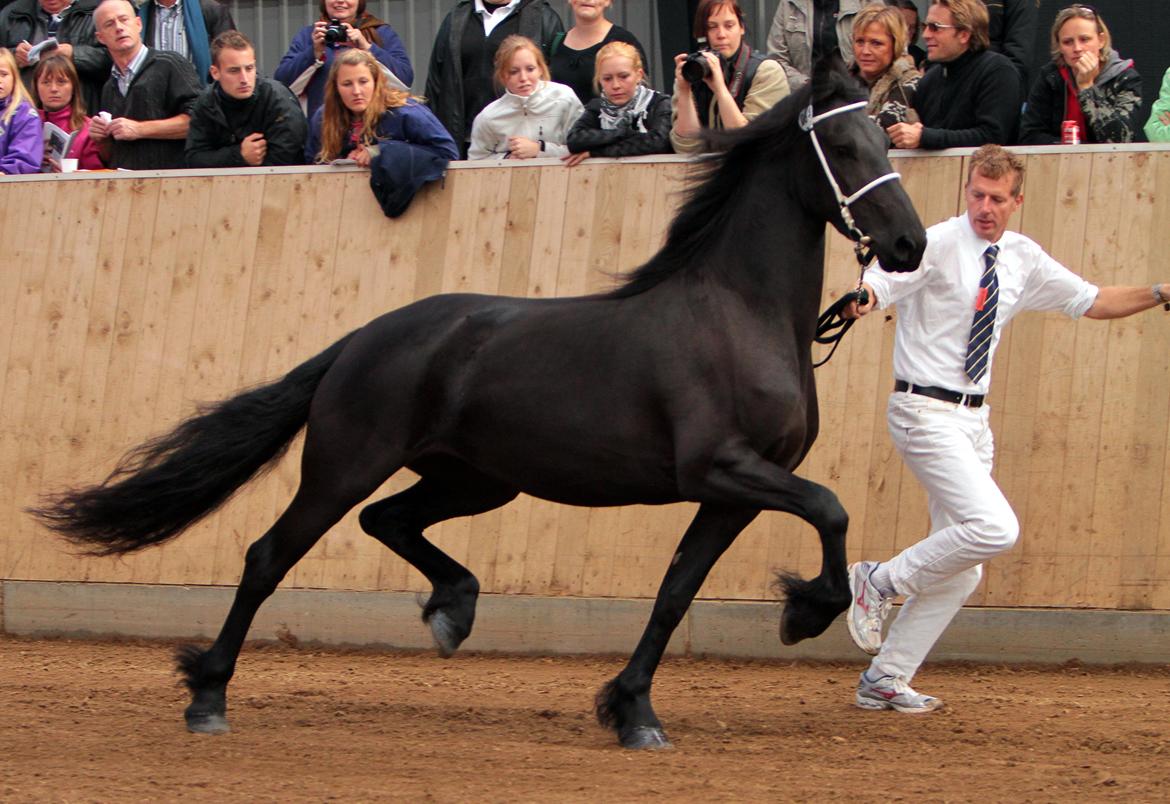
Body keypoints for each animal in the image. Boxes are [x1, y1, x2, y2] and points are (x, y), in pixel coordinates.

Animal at [34, 59, 921, 753]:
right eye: (846, 147)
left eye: (888, 140)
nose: (909, 245)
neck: (737, 312)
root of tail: (362, 339)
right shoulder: (722, 468)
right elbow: (832, 509)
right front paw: (807, 613)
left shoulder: (731, 491)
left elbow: (677, 592)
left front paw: (632, 710)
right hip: (347, 464)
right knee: (269, 555)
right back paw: (209, 696)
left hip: (477, 479)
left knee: (388, 521)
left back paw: (453, 609)